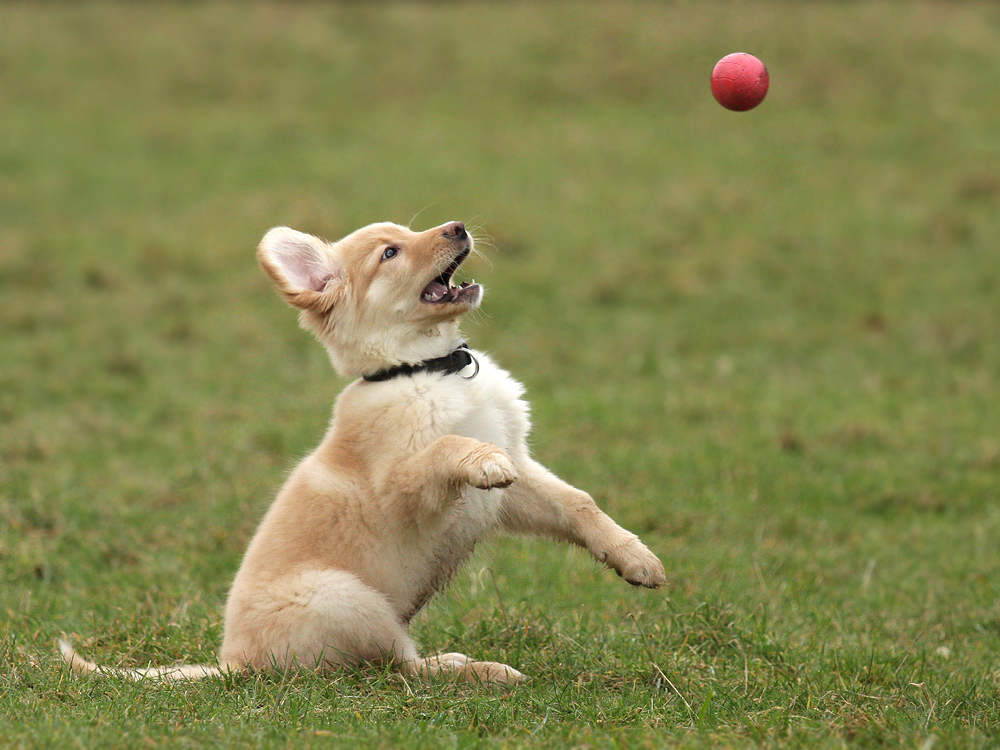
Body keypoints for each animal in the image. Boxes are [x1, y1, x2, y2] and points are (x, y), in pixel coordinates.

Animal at [60, 220, 664, 684]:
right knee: (399, 668)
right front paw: (478, 458)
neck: (429, 368)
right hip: (350, 600)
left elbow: (579, 503)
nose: (458, 226)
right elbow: (450, 445)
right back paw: (477, 670)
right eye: (390, 253)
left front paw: (634, 558)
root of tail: (237, 664)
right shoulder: (402, 488)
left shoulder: (517, 477)